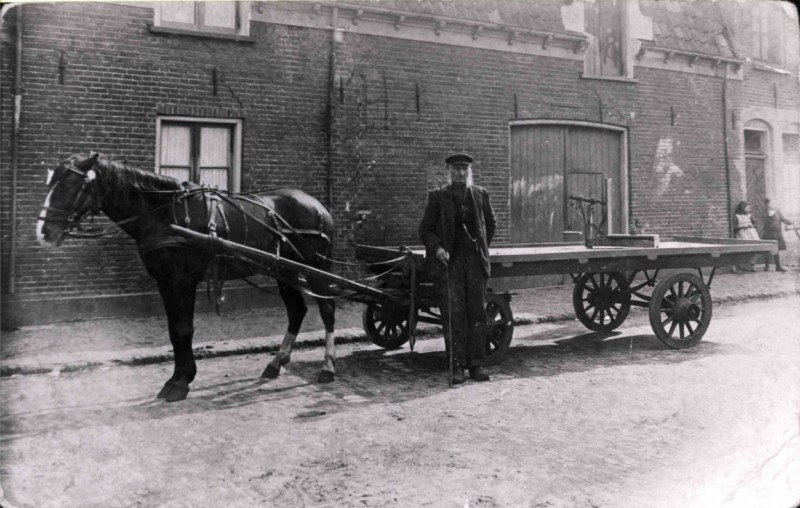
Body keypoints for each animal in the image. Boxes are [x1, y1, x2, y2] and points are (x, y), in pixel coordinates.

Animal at [36, 153, 338, 402]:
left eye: (70, 185)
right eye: (51, 183)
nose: (43, 232)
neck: (164, 213)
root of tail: (318, 205)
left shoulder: (182, 280)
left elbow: (183, 330)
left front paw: (180, 383)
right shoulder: (165, 281)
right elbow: (174, 331)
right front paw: (177, 379)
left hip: (315, 268)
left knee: (327, 309)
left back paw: (328, 367)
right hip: (285, 271)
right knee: (296, 310)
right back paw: (275, 363)